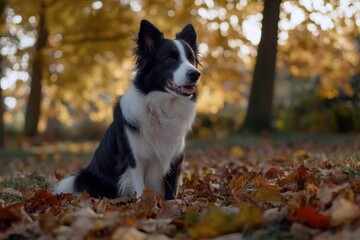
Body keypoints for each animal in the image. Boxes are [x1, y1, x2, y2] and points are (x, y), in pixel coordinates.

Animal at [54, 19, 200, 201]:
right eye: (170, 58)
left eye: (191, 59)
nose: (196, 74)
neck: (162, 108)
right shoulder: (135, 159)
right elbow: (140, 188)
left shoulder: (175, 157)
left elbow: (171, 190)